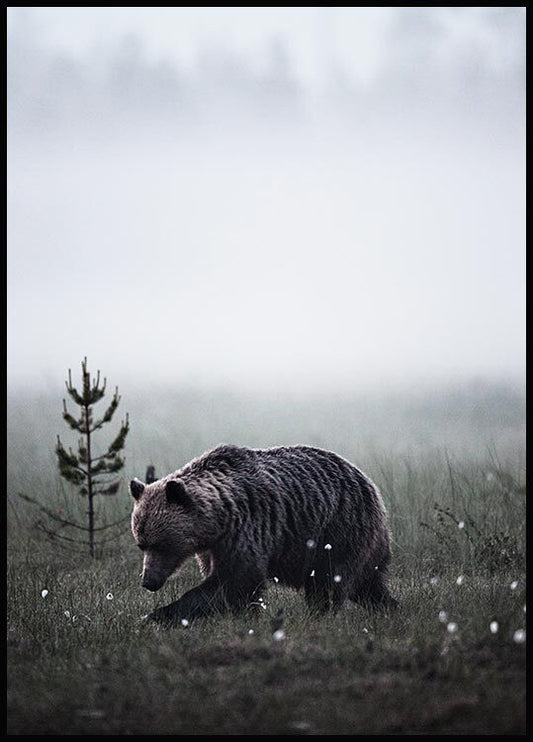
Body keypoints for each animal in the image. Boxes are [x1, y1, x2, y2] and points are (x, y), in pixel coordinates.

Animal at [130, 444, 397, 626]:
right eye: (141, 544)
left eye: (162, 544)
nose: (148, 581)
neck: (217, 521)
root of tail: (371, 485)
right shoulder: (212, 548)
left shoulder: (246, 528)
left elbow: (236, 580)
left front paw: (158, 614)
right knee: (367, 584)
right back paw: (390, 607)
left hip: (337, 531)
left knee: (329, 581)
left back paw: (318, 616)